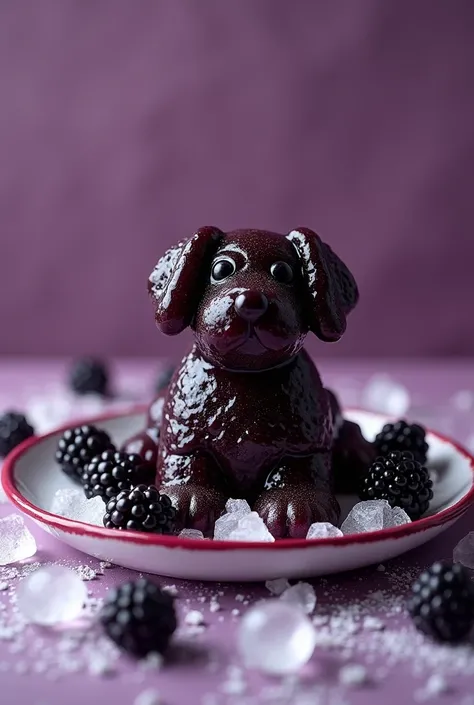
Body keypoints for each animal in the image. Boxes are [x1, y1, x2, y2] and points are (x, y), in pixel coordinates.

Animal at [122, 228, 370, 536]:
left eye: (283, 272)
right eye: (221, 269)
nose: (251, 302)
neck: (247, 377)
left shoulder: (306, 444)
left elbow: (300, 469)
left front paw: (295, 502)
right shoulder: (183, 436)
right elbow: (186, 459)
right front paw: (188, 495)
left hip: (331, 403)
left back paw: (356, 450)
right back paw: (141, 446)